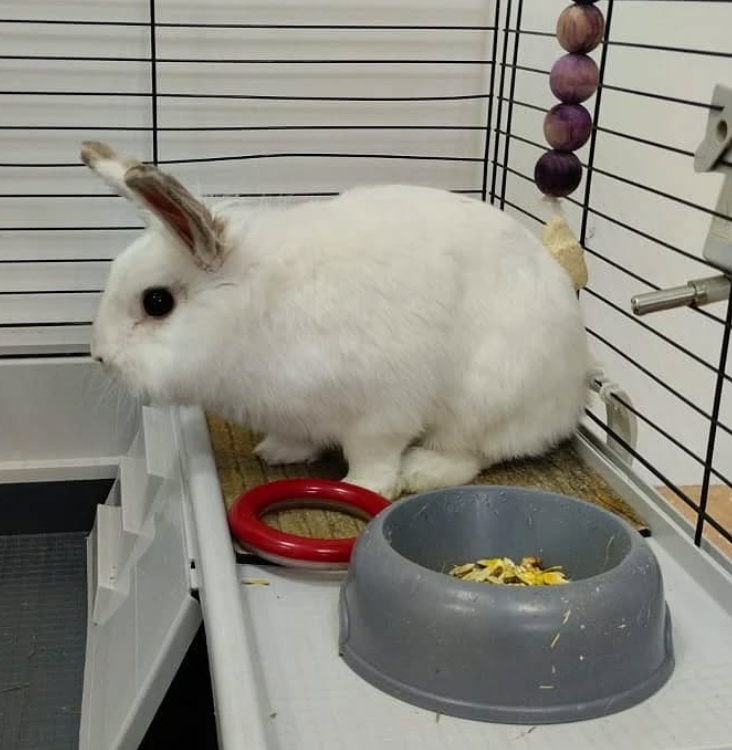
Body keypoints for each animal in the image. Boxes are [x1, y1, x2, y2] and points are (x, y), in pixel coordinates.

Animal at [82, 141, 591, 500]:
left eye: (157, 302)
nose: (99, 357)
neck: (258, 308)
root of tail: (570, 401)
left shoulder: (382, 411)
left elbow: (373, 456)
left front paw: (364, 487)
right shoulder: (297, 411)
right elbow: (299, 436)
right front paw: (276, 453)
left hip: (486, 396)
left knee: (473, 452)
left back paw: (421, 470)